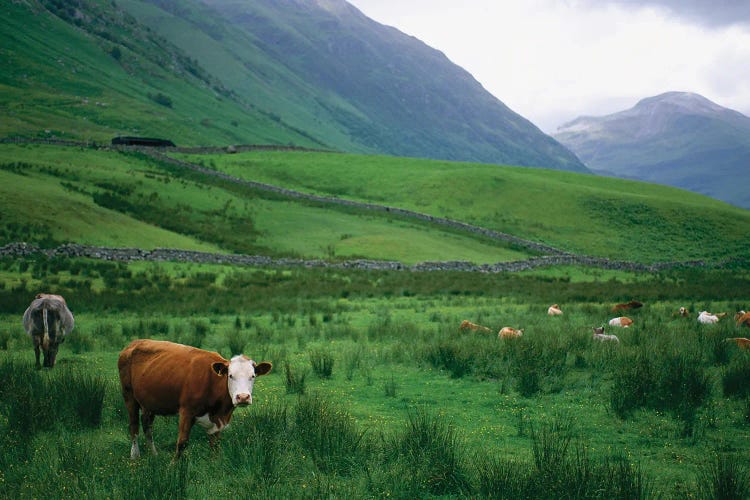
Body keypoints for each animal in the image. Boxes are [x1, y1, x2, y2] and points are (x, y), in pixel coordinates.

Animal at [116, 338, 272, 458]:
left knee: (147, 425)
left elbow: (215, 445)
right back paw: (135, 456)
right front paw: (173, 469)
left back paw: (154, 455)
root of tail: (134, 343)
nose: (243, 397)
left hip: (149, 402)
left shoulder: (217, 421)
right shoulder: (187, 411)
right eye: (230, 375)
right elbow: (182, 442)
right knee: (134, 425)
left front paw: (214, 464)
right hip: (129, 396)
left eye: (253, 376)